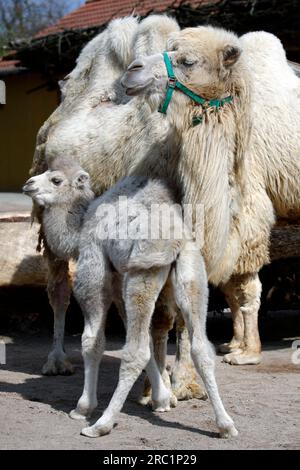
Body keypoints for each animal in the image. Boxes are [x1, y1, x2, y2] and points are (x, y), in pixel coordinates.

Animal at [22, 162, 239, 440]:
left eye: (56, 180)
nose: (28, 184)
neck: (80, 226)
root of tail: (177, 241)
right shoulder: (119, 282)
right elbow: (145, 339)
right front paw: (163, 400)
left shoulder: (95, 266)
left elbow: (92, 341)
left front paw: (83, 408)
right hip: (193, 274)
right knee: (201, 348)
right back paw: (226, 425)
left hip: (143, 273)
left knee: (134, 351)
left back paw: (100, 424)